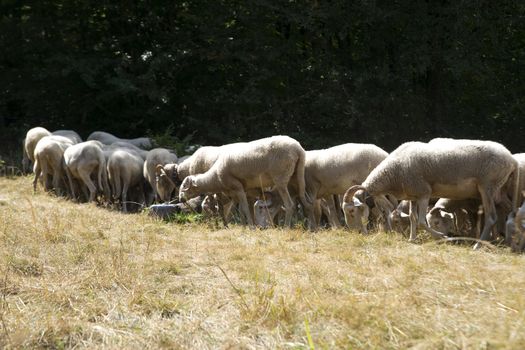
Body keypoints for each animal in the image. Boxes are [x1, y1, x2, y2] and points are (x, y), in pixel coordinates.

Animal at [178, 135, 314, 228]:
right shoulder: (243, 191)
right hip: (298, 177)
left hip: (281, 179)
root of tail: (298, 149)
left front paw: (251, 227)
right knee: (306, 204)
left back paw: (286, 227)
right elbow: (241, 209)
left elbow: (243, 208)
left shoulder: (238, 187)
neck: (215, 177)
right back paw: (310, 227)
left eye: (184, 186)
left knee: (289, 205)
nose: (180, 199)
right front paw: (245, 226)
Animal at [342, 138, 516, 247]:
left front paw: (443, 237)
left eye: (351, 211)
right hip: (500, 190)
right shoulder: (413, 195)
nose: (355, 232)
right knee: (509, 211)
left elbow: (421, 221)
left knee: (491, 217)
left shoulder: (424, 193)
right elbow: (412, 218)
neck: (392, 173)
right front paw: (412, 239)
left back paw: (478, 245)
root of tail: (511, 159)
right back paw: (508, 241)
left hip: (487, 187)